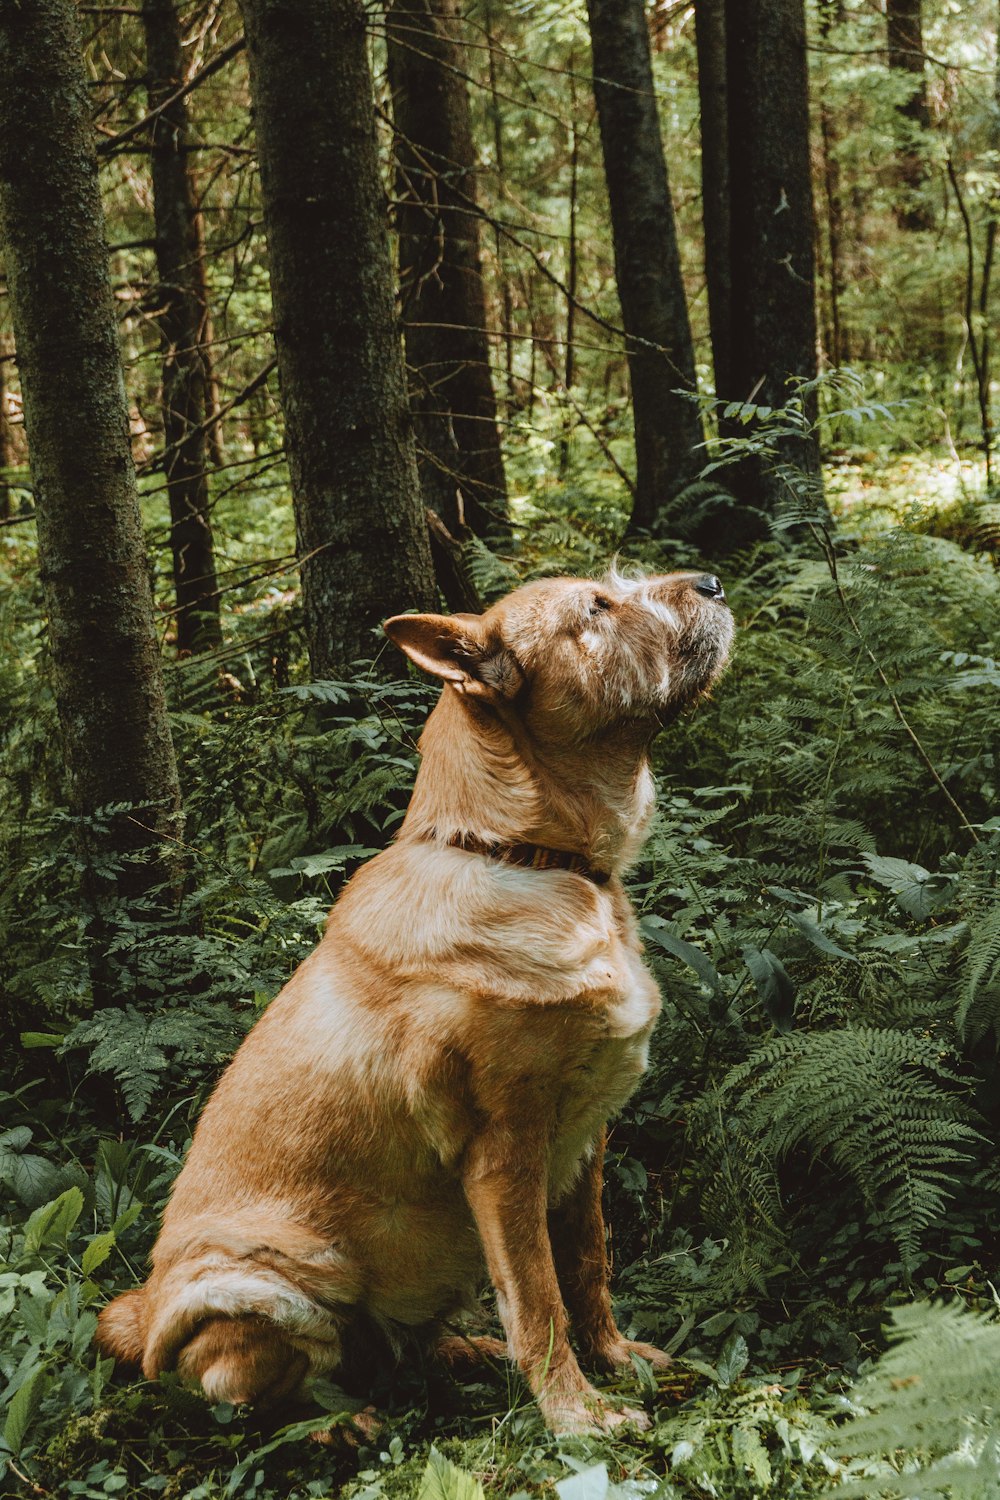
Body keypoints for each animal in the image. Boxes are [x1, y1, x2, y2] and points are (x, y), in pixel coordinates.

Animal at [95, 567, 734, 1434]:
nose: (712, 581)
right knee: (253, 1394)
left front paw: (614, 1360)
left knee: (403, 1349)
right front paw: (577, 1415)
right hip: (282, 1282)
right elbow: (538, 1298)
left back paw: (465, 1355)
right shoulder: (506, 1150)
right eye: (595, 610)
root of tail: (145, 1312)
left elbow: (587, 1267)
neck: (525, 856)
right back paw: (343, 1426)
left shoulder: (584, 1143)